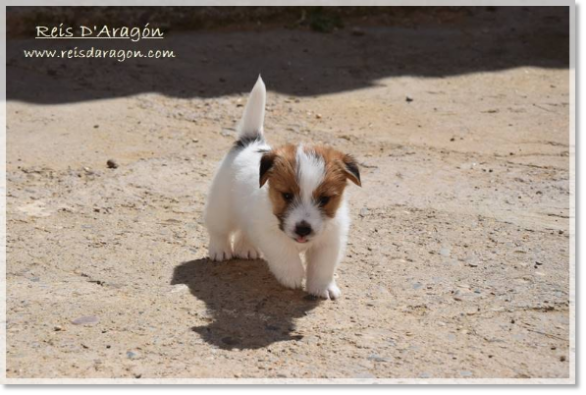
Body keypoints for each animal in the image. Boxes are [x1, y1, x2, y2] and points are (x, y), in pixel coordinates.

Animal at [205, 76, 360, 300]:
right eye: (286, 195)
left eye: (324, 199)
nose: (303, 229)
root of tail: (249, 143)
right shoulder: (271, 236)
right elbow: (286, 255)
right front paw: (293, 276)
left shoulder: (330, 241)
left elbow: (323, 267)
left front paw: (322, 287)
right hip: (221, 207)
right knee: (218, 229)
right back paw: (220, 250)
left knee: (244, 230)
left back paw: (246, 248)